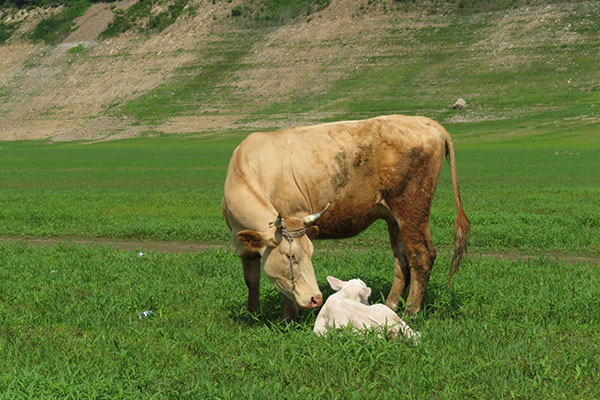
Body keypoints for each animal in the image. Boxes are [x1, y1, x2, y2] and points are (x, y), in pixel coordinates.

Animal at [221, 113, 468, 318]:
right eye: (290, 256)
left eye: (309, 253)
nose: (316, 298)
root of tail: (424, 121)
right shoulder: (240, 240)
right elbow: (251, 278)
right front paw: (253, 313)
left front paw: (288, 317)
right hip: (394, 218)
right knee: (402, 260)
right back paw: (390, 305)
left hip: (412, 208)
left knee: (422, 254)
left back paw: (412, 309)